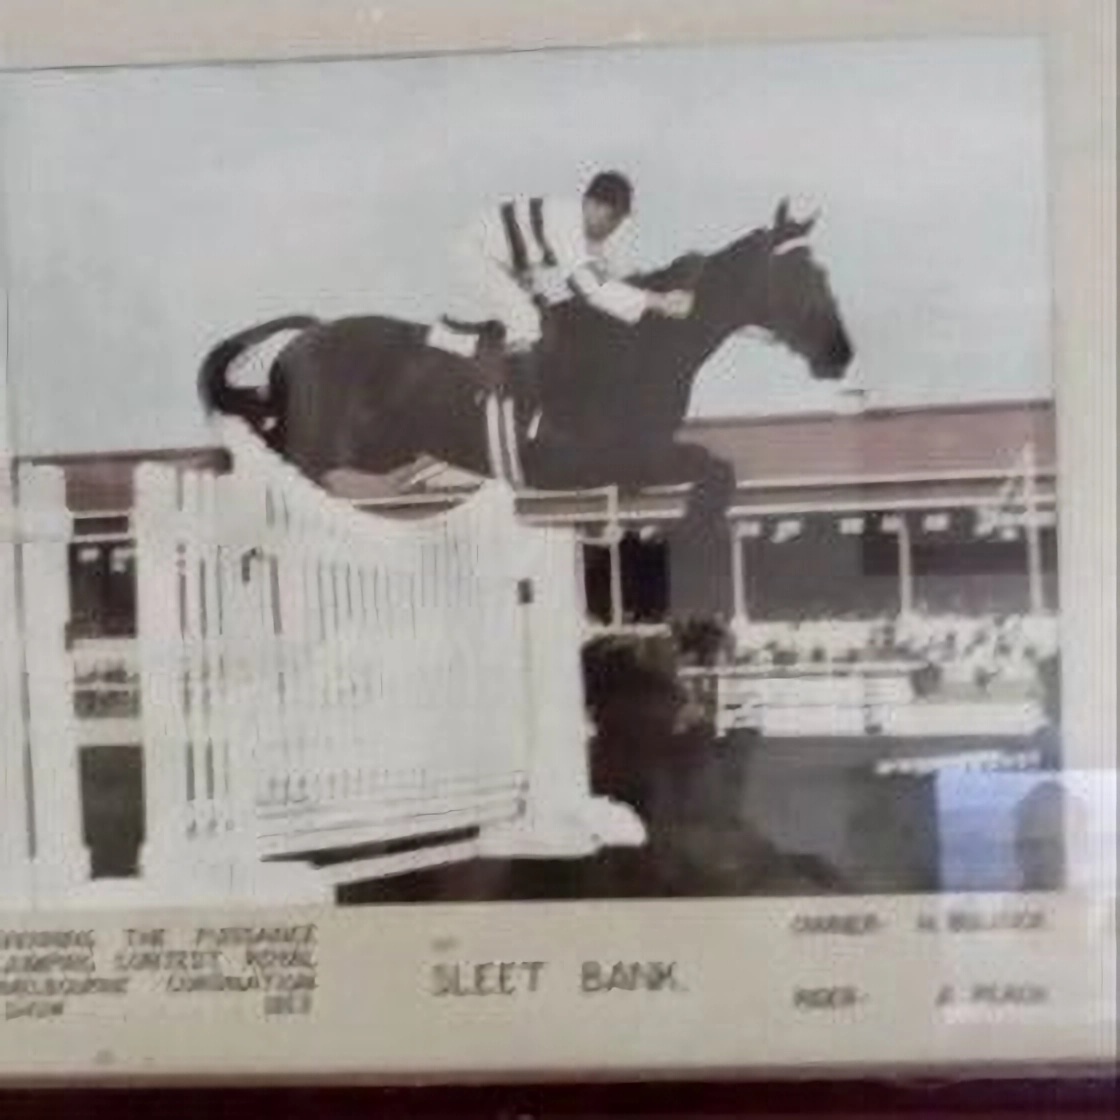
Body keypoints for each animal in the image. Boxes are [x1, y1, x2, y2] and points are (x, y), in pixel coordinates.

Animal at [197, 201, 851, 618]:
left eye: (821, 271)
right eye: (798, 276)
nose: (840, 355)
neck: (639, 347)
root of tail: (298, 347)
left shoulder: (634, 468)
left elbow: (715, 472)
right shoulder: (607, 459)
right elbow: (712, 473)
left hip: (369, 449)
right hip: (321, 450)